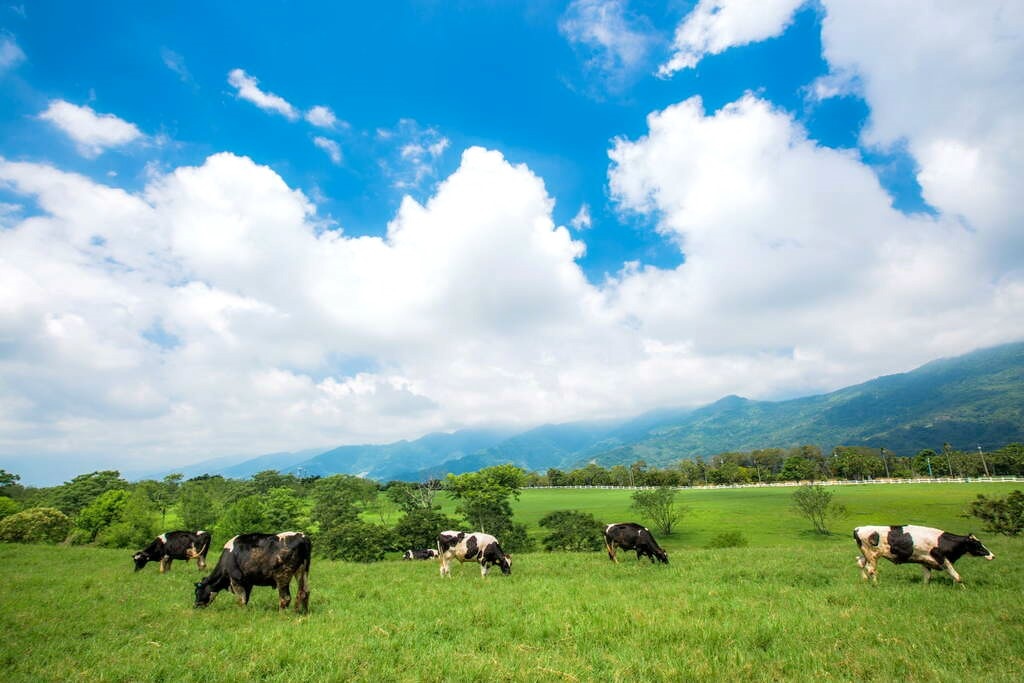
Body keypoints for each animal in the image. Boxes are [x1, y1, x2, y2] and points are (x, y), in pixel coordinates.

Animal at [851, 524, 995, 589]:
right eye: (977, 544)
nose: (992, 556)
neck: (942, 541)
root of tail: (858, 528)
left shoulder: (926, 561)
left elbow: (927, 577)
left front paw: (924, 588)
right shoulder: (942, 559)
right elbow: (957, 576)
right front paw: (964, 589)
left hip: (867, 554)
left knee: (861, 563)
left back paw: (865, 579)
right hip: (872, 555)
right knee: (871, 569)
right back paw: (876, 584)